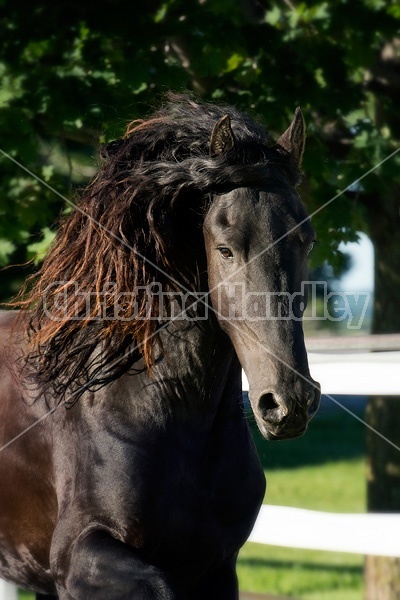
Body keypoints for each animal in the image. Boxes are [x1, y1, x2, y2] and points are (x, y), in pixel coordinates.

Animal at [0, 96, 318, 596]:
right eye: (225, 249)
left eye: (307, 241)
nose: (289, 403)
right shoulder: (78, 556)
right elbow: (159, 584)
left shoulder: (218, 568)